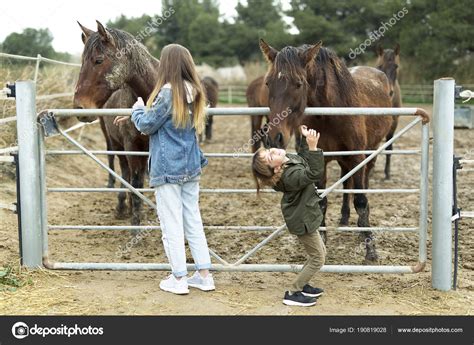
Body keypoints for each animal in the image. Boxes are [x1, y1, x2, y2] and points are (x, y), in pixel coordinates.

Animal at [71, 20, 158, 226]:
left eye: (99, 60)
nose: (79, 107)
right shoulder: (130, 145)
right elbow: (135, 182)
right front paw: (136, 221)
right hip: (115, 141)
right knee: (124, 170)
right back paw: (122, 204)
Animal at [260, 39, 392, 260]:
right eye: (268, 83)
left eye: (299, 83)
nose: (274, 138)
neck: (331, 111)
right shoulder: (319, 159)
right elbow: (321, 201)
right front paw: (322, 240)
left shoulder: (357, 157)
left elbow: (361, 200)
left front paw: (370, 248)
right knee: (346, 182)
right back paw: (345, 218)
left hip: (370, 152)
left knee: (362, 182)